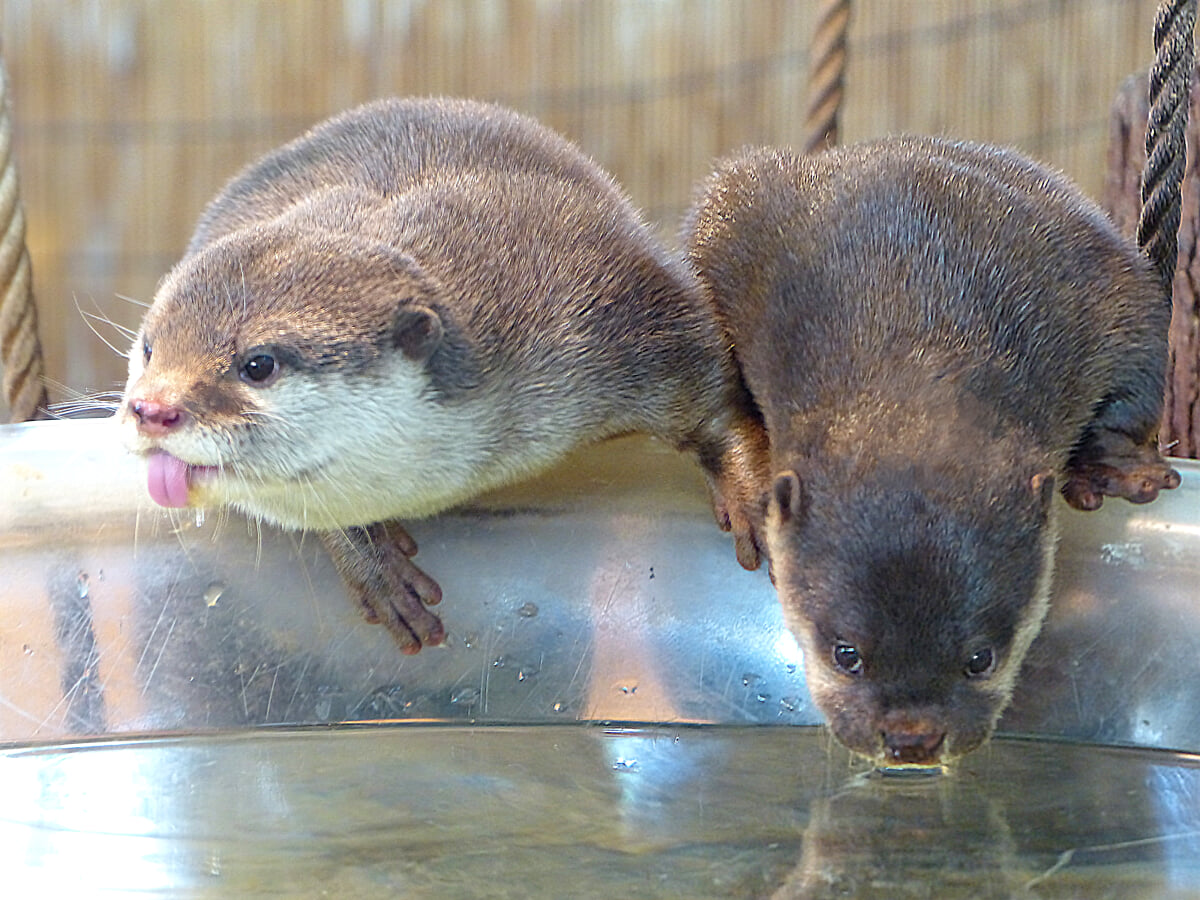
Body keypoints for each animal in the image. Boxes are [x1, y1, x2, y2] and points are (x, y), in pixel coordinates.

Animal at [121, 98, 768, 657]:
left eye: (257, 364)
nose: (152, 409)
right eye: (149, 348)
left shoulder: (614, 302)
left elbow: (710, 383)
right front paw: (376, 568)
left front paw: (753, 496)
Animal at [686, 135, 1180, 768]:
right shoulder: (740, 234)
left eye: (979, 659)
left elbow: (1138, 357)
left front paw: (1115, 466)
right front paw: (746, 489)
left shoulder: (1094, 283)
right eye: (847, 653)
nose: (911, 738)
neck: (912, 311)